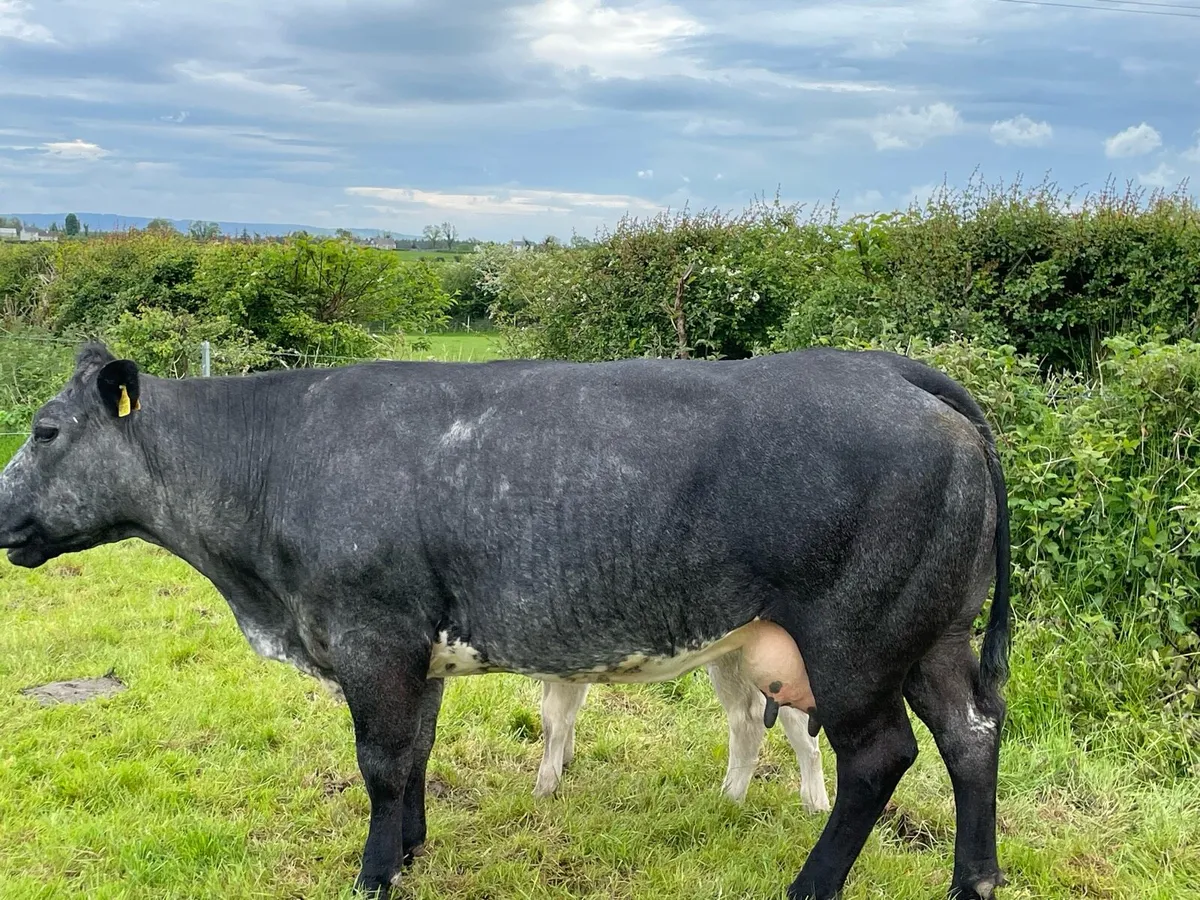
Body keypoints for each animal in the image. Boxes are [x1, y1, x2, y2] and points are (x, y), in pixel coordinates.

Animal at [532, 654, 832, 811]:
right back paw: (816, 803)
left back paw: (729, 798)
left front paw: (545, 785)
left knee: (747, 715)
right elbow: (562, 710)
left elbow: (554, 717)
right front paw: (564, 760)